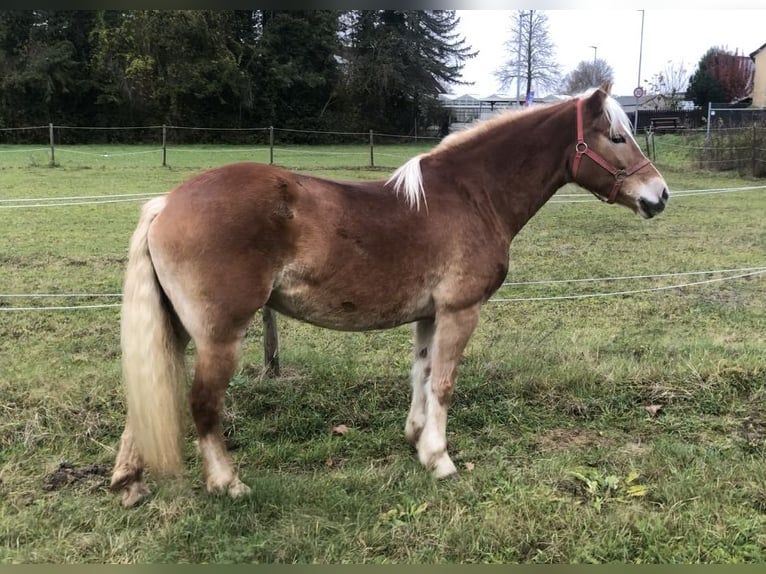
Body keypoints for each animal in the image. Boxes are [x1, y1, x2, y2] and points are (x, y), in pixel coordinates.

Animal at [111, 82, 668, 508]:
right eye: (616, 136)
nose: (659, 195)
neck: (472, 195)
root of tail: (165, 204)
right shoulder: (460, 311)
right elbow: (443, 383)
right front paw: (441, 460)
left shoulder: (429, 315)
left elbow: (421, 375)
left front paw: (417, 441)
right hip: (219, 338)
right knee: (203, 404)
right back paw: (228, 483)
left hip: (176, 330)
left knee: (150, 391)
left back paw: (130, 482)